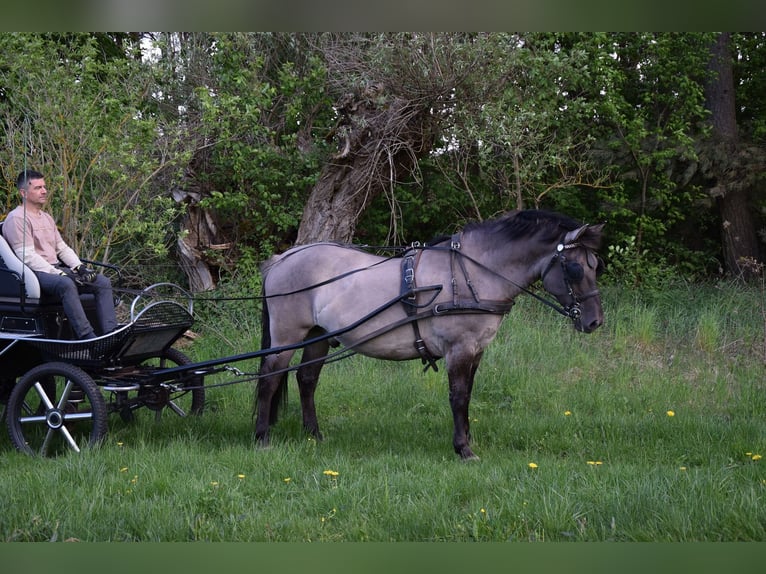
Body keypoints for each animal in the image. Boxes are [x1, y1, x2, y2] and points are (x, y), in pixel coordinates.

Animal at [255, 209, 605, 459]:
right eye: (575, 268)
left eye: (595, 265)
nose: (595, 322)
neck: (473, 274)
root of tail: (281, 259)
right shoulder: (460, 348)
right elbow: (458, 395)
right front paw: (463, 449)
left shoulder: (476, 349)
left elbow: (468, 394)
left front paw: (467, 439)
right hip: (287, 337)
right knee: (269, 380)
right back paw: (262, 438)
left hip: (318, 336)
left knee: (306, 380)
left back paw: (314, 435)